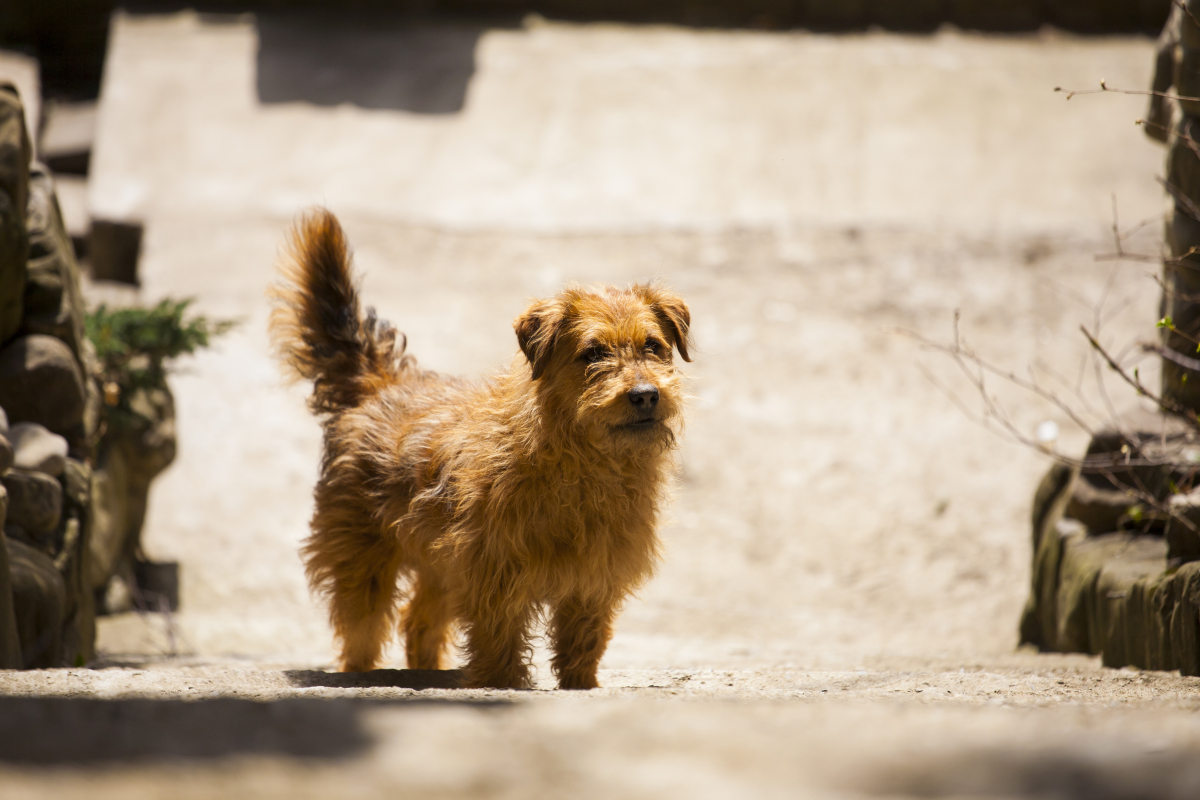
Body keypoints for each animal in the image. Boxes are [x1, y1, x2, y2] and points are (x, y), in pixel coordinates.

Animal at [266, 208, 691, 690]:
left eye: (653, 346)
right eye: (593, 352)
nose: (645, 395)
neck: (582, 461)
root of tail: (382, 382)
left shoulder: (594, 575)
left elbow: (584, 638)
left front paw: (580, 683)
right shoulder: (493, 570)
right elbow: (499, 638)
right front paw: (501, 682)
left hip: (434, 563)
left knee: (418, 622)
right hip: (362, 561)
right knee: (362, 630)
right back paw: (360, 673)